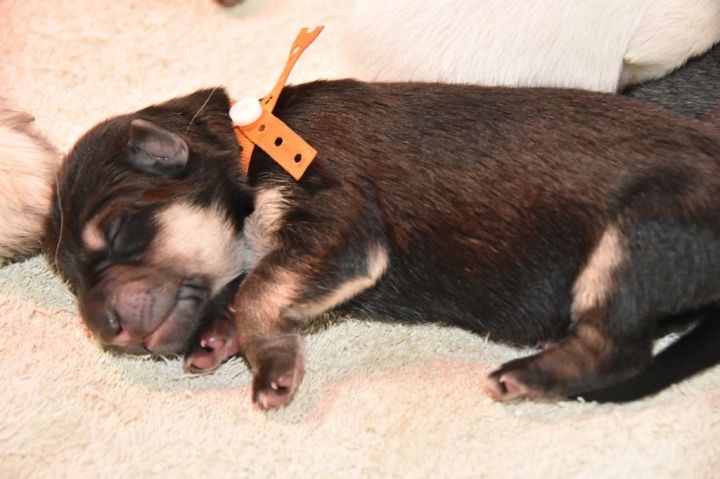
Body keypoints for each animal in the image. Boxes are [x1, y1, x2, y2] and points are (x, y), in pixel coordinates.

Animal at [45, 80, 720, 409]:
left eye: (121, 233)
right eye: (69, 278)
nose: (103, 329)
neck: (247, 148)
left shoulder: (341, 217)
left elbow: (260, 285)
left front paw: (270, 365)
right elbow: (251, 283)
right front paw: (217, 336)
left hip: (639, 234)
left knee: (617, 347)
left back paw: (526, 377)